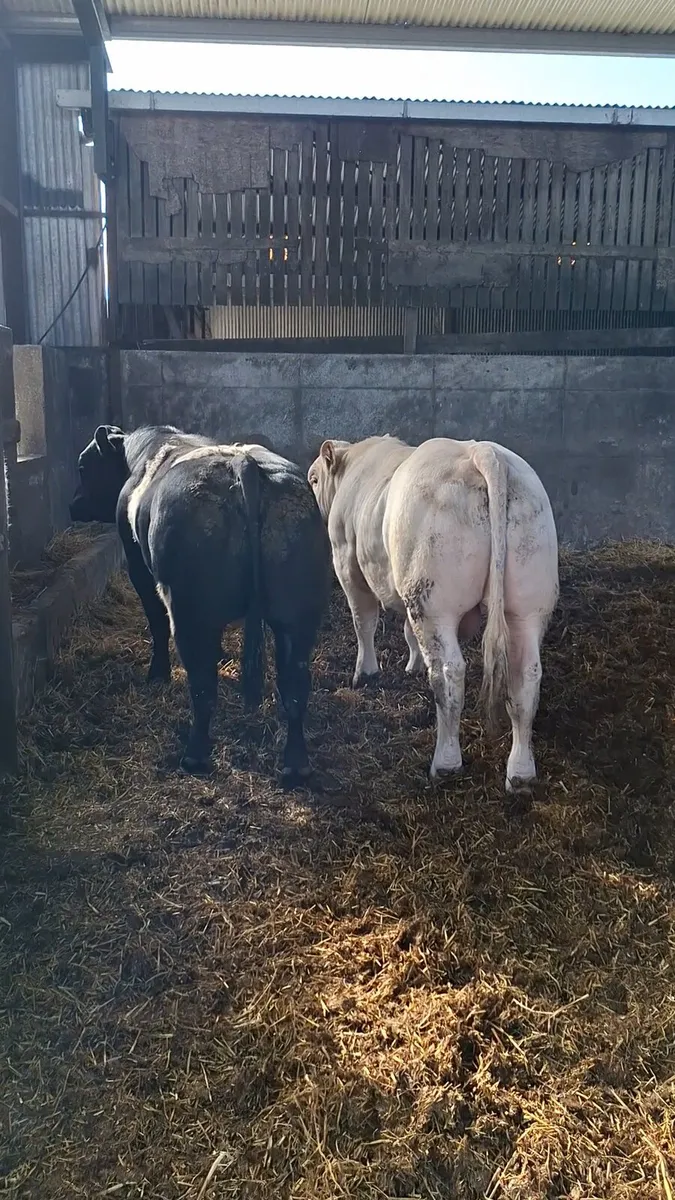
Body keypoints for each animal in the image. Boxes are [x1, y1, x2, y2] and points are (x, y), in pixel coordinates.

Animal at [70, 425, 331, 782]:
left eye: (83, 467)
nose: (73, 506)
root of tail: (243, 463)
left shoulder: (138, 566)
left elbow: (155, 621)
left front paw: (158, 674)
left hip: (188, 608)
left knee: (203, 686)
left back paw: (194, 756)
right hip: (296, 613)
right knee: (294, 686)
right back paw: (296, 764)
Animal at [308, 436, 558, 791]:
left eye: (313, 479)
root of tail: (481, 452)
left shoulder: (347, 563)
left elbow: (363, 621)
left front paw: (365, 673)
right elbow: (406, 632)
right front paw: (412, 664)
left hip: (433, 601)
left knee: (448, 673)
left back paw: (446, 763)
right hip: (527, 601)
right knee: (526, 676)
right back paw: (520, 773)